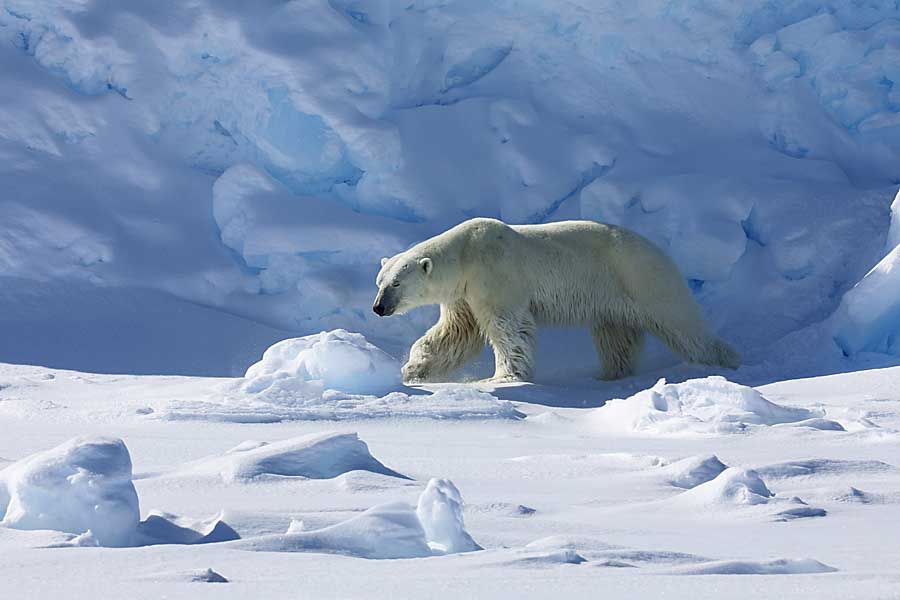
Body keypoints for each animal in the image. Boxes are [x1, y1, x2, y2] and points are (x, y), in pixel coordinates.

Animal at [372, 218, 740, 382]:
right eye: (379, 282)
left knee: (680, 323)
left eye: (396, 283)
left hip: (641, 278)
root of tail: (662, 253)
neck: (466, 253)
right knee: (616, 337)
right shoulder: (463, 294)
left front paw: (504, 377)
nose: (378, 307)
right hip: (613, 298)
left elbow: (507, 329)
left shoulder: (496, 277)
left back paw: (725, 359)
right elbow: (455, 334)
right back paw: (609, 374)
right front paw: (414, 369)